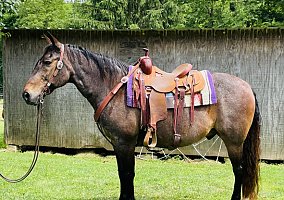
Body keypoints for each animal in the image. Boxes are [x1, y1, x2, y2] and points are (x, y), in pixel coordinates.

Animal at [23, 34, 260, 200]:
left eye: (47, 62)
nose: (27, 94)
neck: (114, 88)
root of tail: (247, 86)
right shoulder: (120, 145)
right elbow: (125, 175)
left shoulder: (124, 143)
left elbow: (127, 175)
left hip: (234, 142)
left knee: (238, 171)